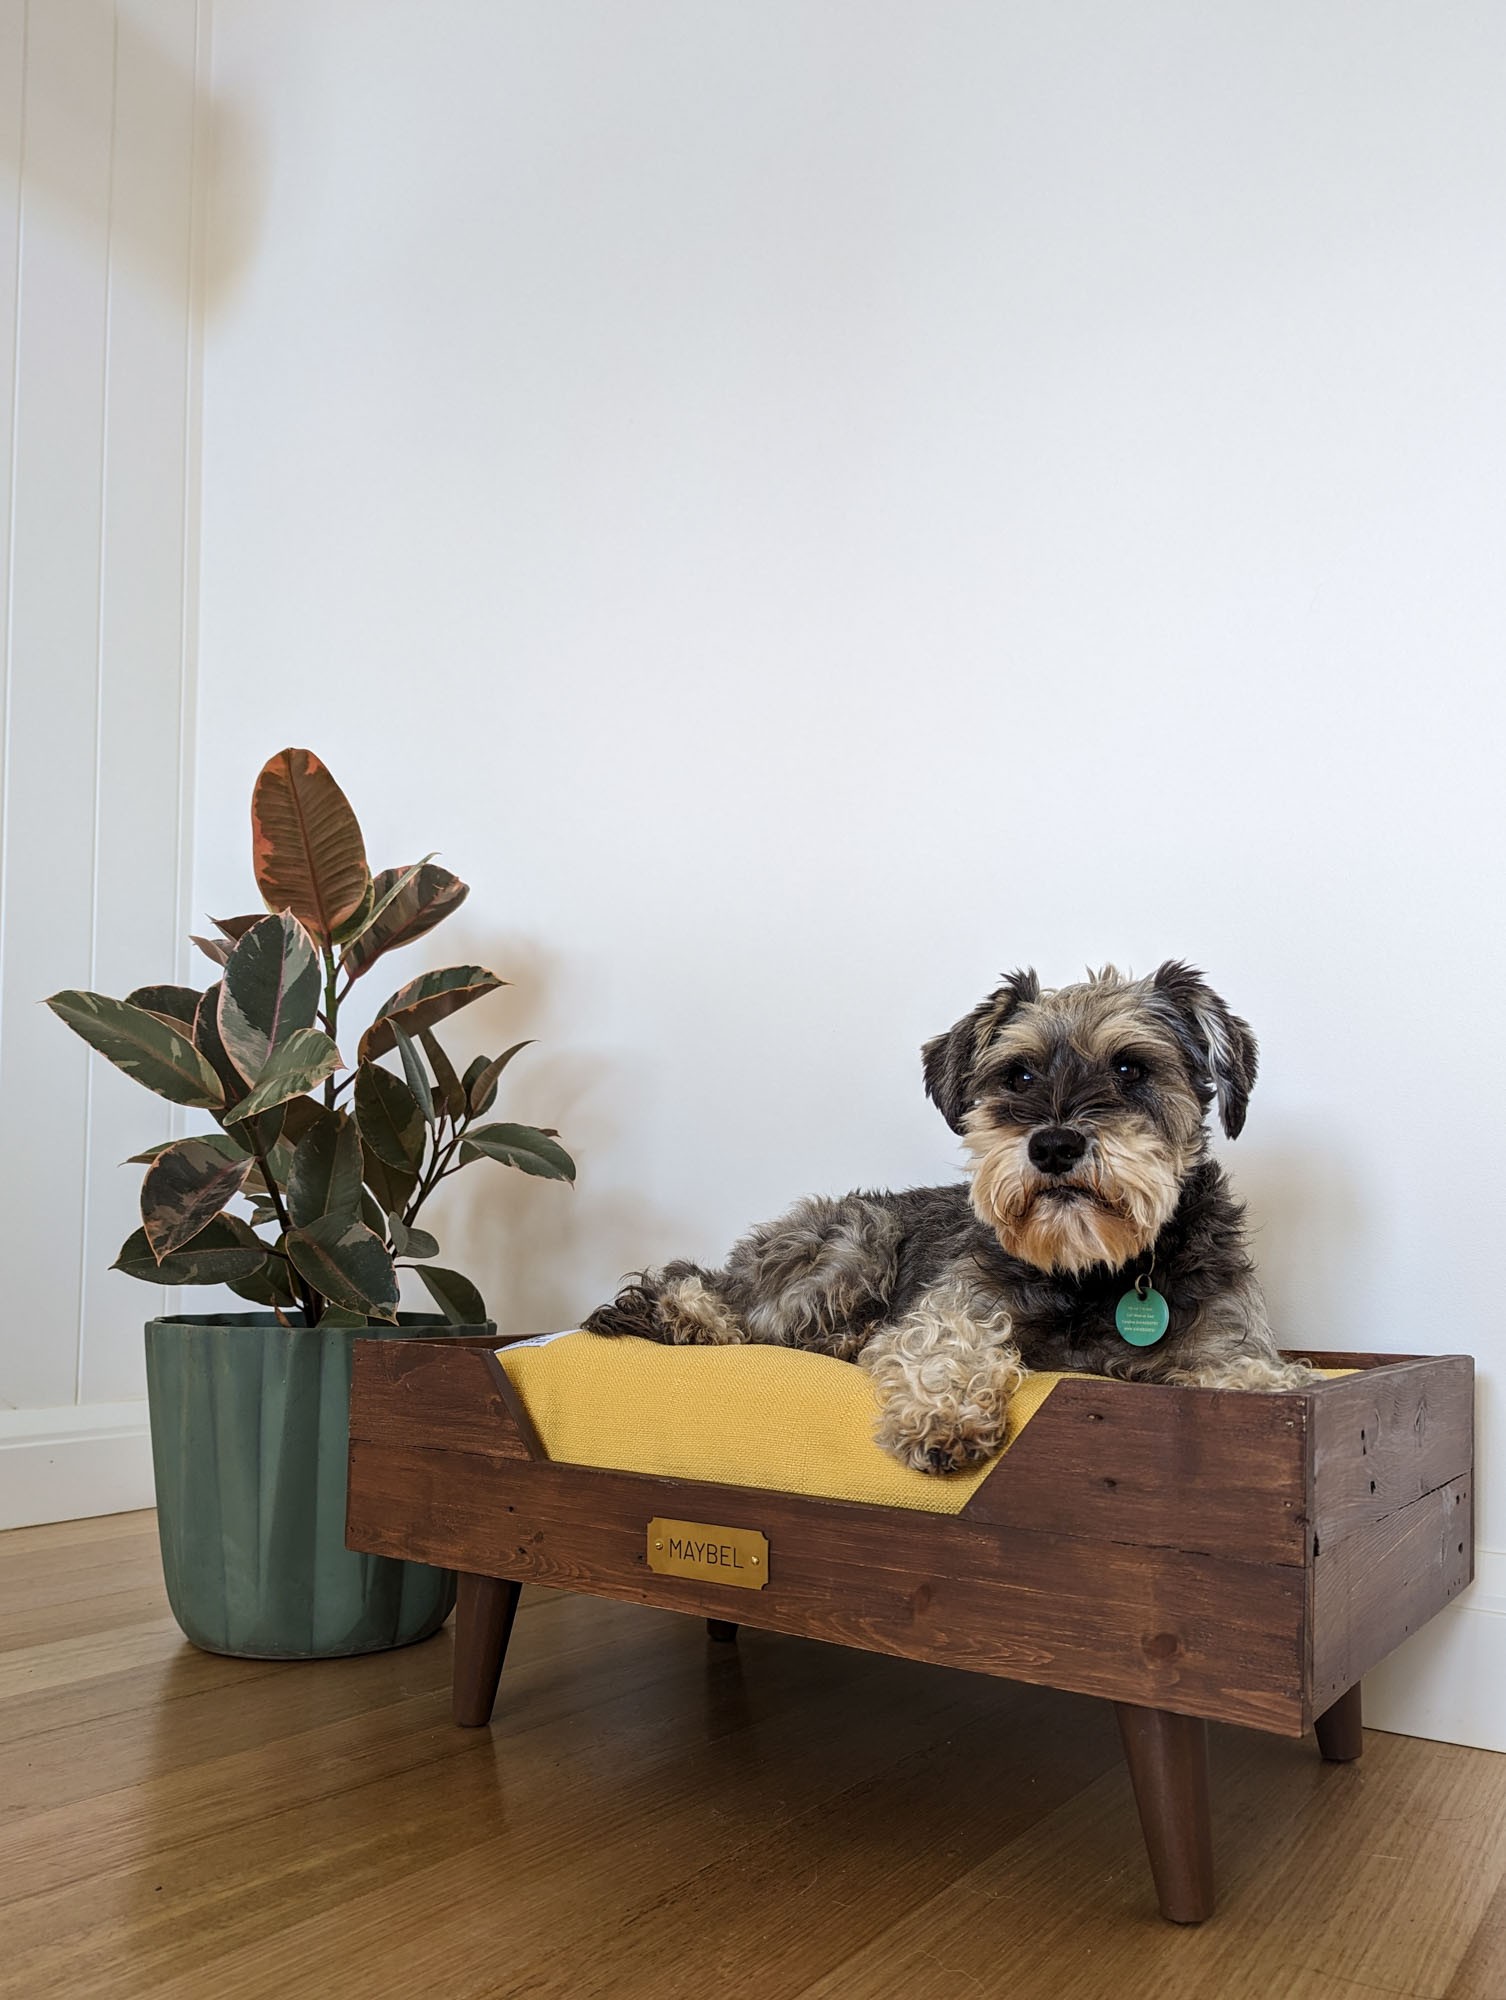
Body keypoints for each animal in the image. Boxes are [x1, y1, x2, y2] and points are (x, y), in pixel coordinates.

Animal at [583, 962, 1309, 1473]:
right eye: (1018, 1076)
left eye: (1131, 1068)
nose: (1053, 1146)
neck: (1090, 1269)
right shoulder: (955, 1306)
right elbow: (943, 1349)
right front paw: (946, 1419)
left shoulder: (1223, 1335)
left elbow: (1253, 1374)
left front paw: (1270, 1386)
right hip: (858, 1241)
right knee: (732, 1305)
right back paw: (694, 1316)